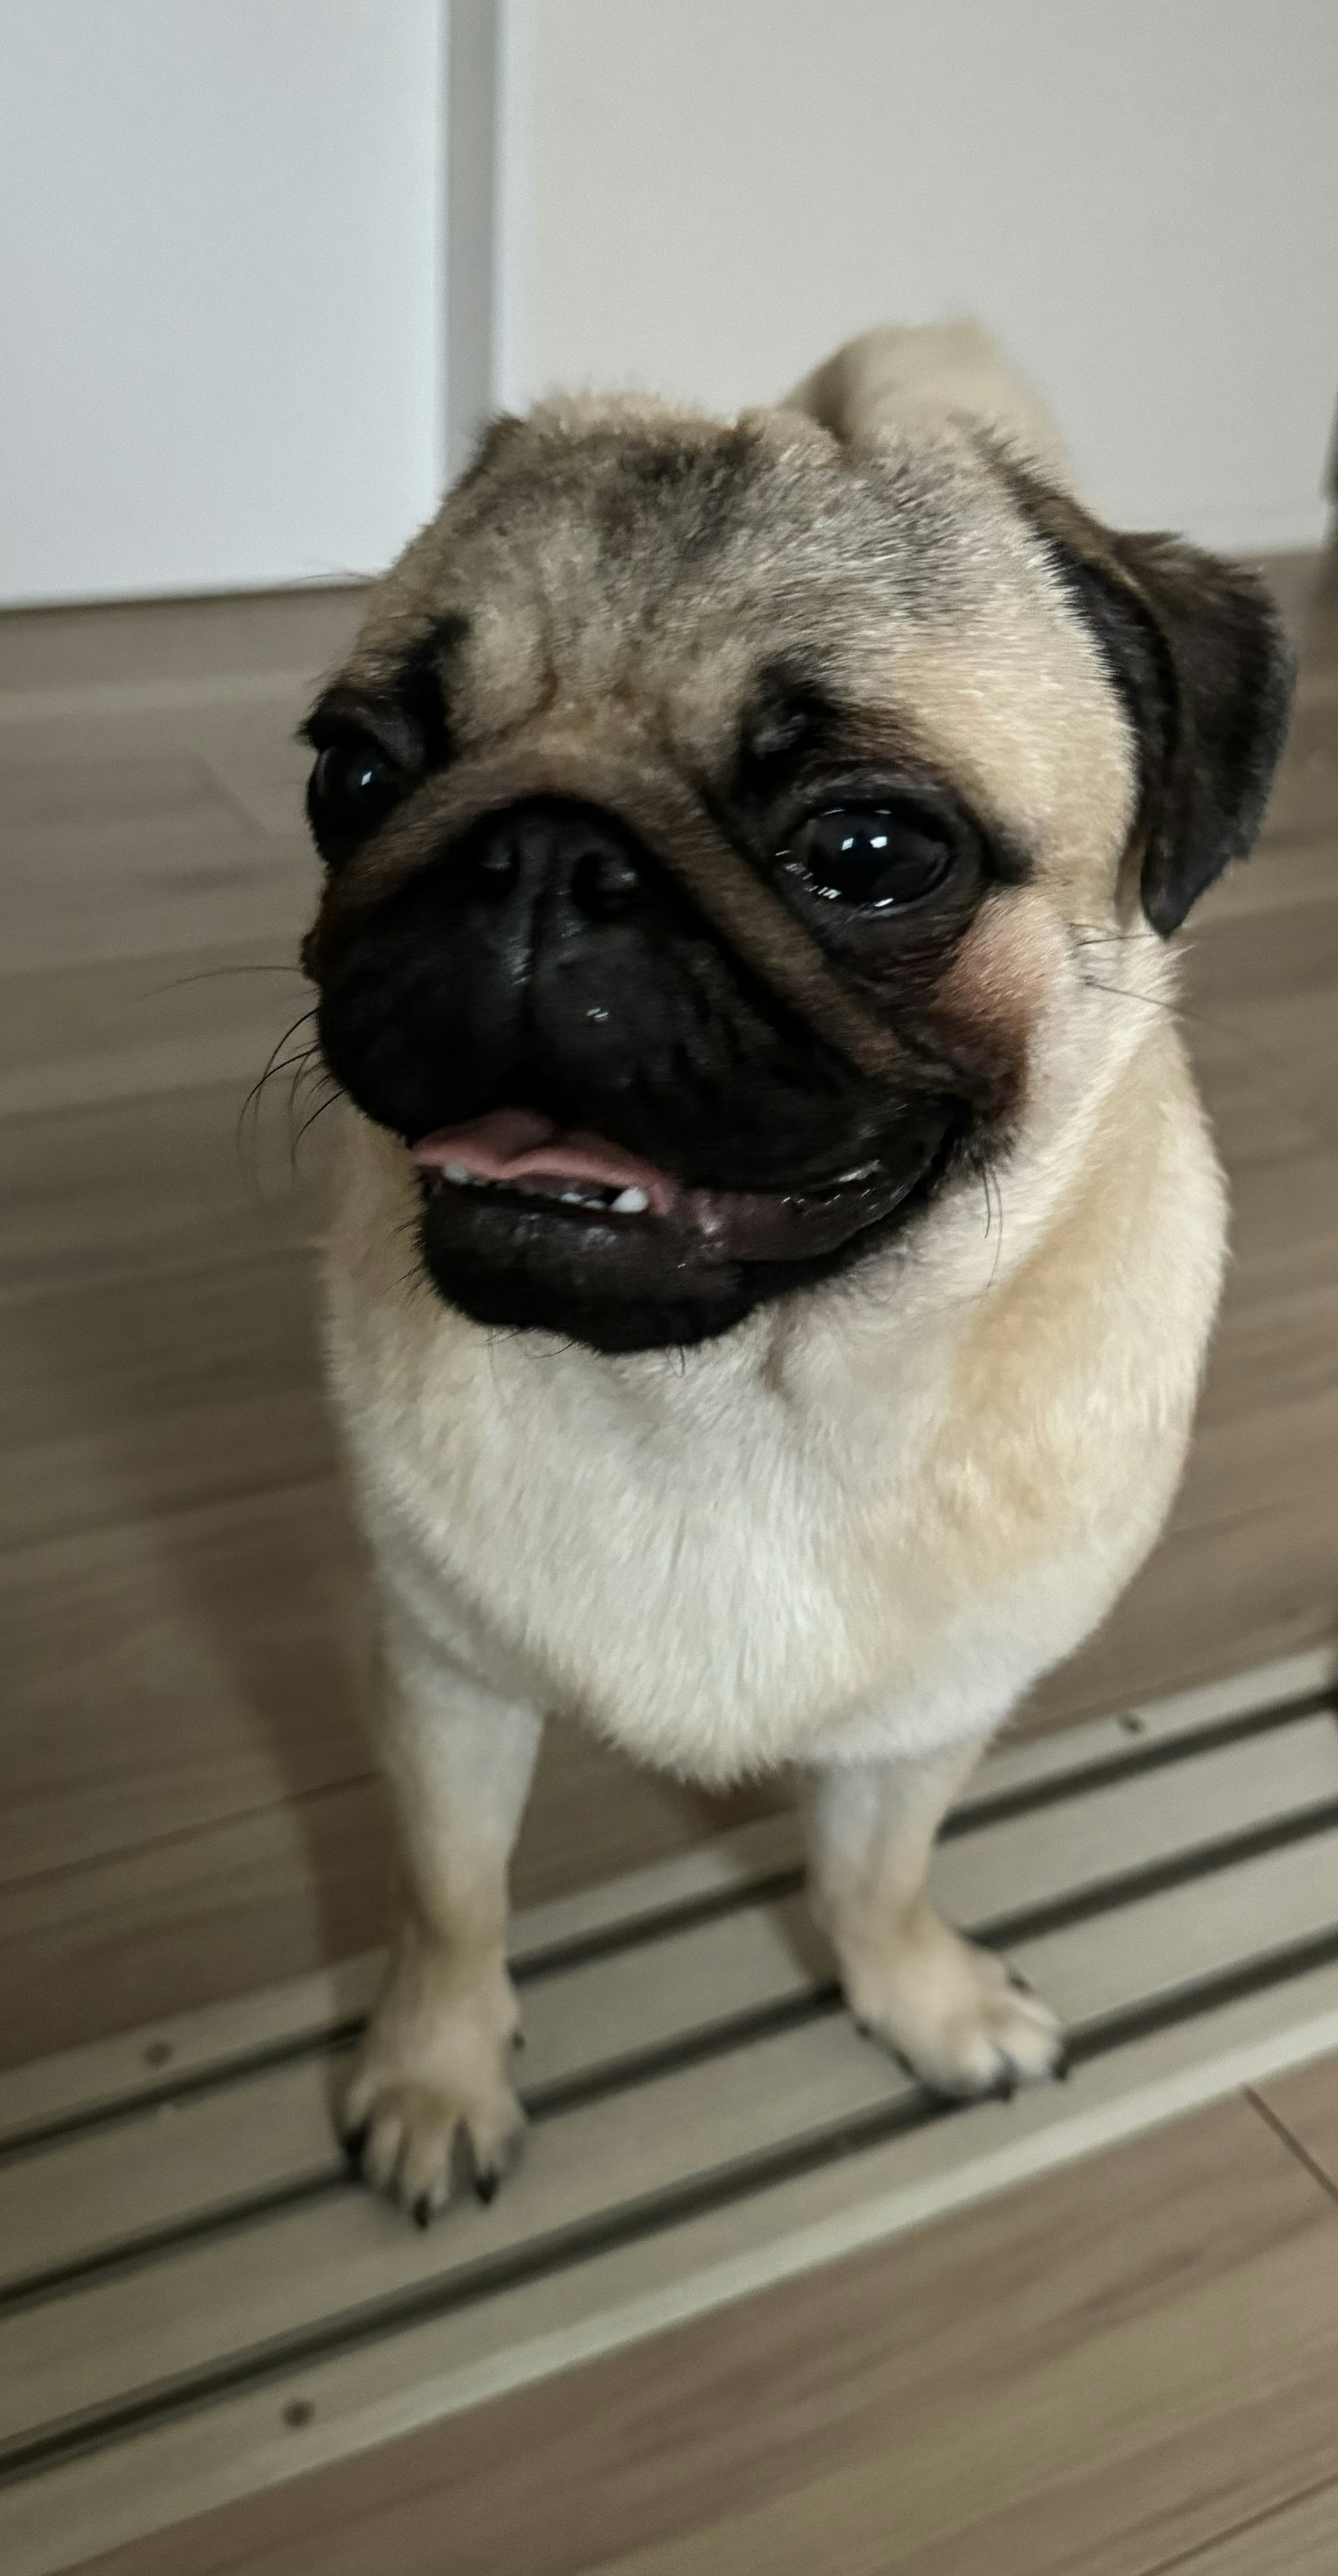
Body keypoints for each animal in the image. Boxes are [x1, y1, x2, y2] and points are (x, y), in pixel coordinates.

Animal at [301, 317, 1289, 2215]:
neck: (729, 1394)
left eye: (872, 850)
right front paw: (436, 2071)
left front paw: (917, 1999)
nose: (540, 852)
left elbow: (871, 1871)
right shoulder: (442, 1675)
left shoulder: (934, 1714)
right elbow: (450, 1898)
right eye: (354, 775)